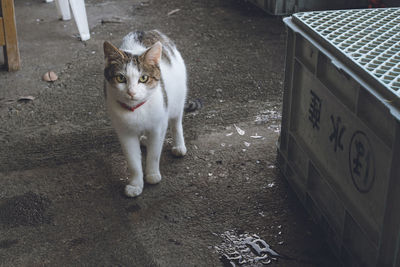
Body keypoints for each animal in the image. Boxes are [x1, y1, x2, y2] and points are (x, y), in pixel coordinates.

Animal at [104, 30, 189, 198]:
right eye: (121, 78)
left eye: (143, 78)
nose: (131, 92)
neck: (135, 110)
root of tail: (147, 31)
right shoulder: (125, 133)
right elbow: (133, 161)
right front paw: (135, 185)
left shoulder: (158, 127)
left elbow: (154, 154)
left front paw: (152, 175)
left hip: (177, 99)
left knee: (176, 123)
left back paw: (179, 145)